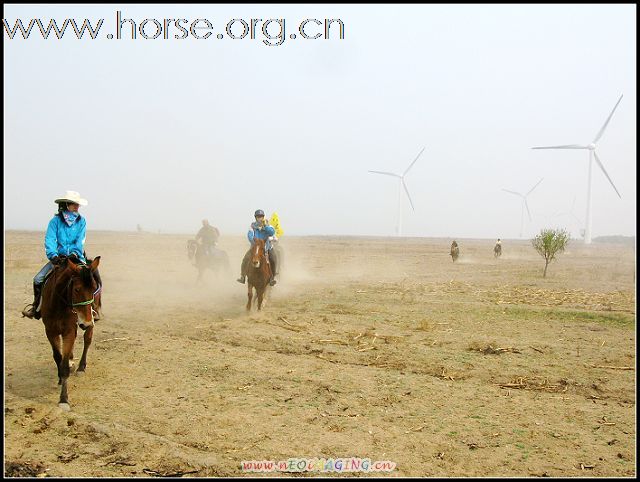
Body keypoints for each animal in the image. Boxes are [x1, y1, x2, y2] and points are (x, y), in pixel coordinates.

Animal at [40, 256, 100, 410]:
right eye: (77, 289)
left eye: (93, 288)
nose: (86, 322)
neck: (59, 305)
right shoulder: (51, 331)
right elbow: (58, 357)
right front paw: (60, 379)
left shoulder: (69, 331)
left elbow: (65, 364)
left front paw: (63, 400)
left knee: (87, 339)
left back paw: (81, 367)